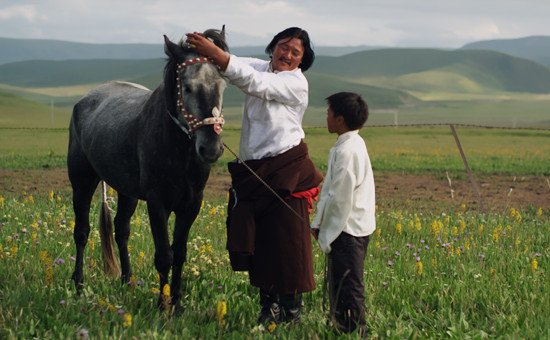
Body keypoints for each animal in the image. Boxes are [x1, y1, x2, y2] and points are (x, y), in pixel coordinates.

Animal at [68, 27, 229, 308]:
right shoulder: (157, 203)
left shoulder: (191, 205)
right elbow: (164, 255)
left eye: (222, 85)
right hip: (82, 182)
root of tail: (85, 99)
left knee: (121, 230)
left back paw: (127, 281)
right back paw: (78, 284)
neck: (178, 150)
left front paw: (177, 303)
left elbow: (180, 253)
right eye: (188, 88)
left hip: (127, 192)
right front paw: (163, 305)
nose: (211, 148)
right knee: (82, 232)